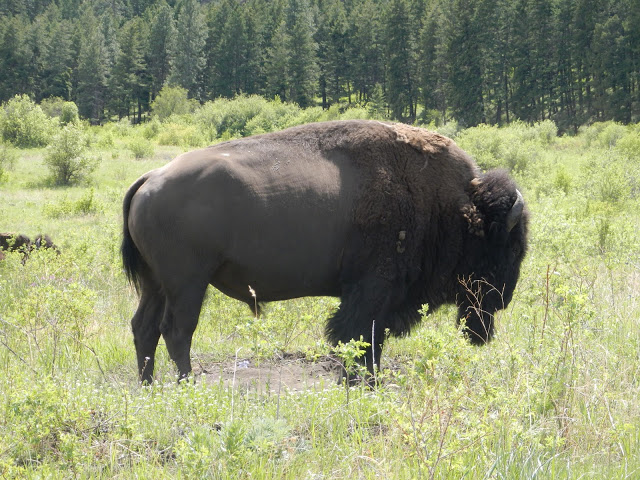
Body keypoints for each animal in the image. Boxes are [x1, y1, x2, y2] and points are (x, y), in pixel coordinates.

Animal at [122, 120, 528, 384]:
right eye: (509, 248)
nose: (504, 299)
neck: (454, 206)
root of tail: (150, 178)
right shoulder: (372, 291)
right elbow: (362, 338)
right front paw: (363, 382)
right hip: (188, 283)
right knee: (177, 330)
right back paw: (186, 384)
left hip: (157, 283)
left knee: (144, 327)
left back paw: (149, 386)